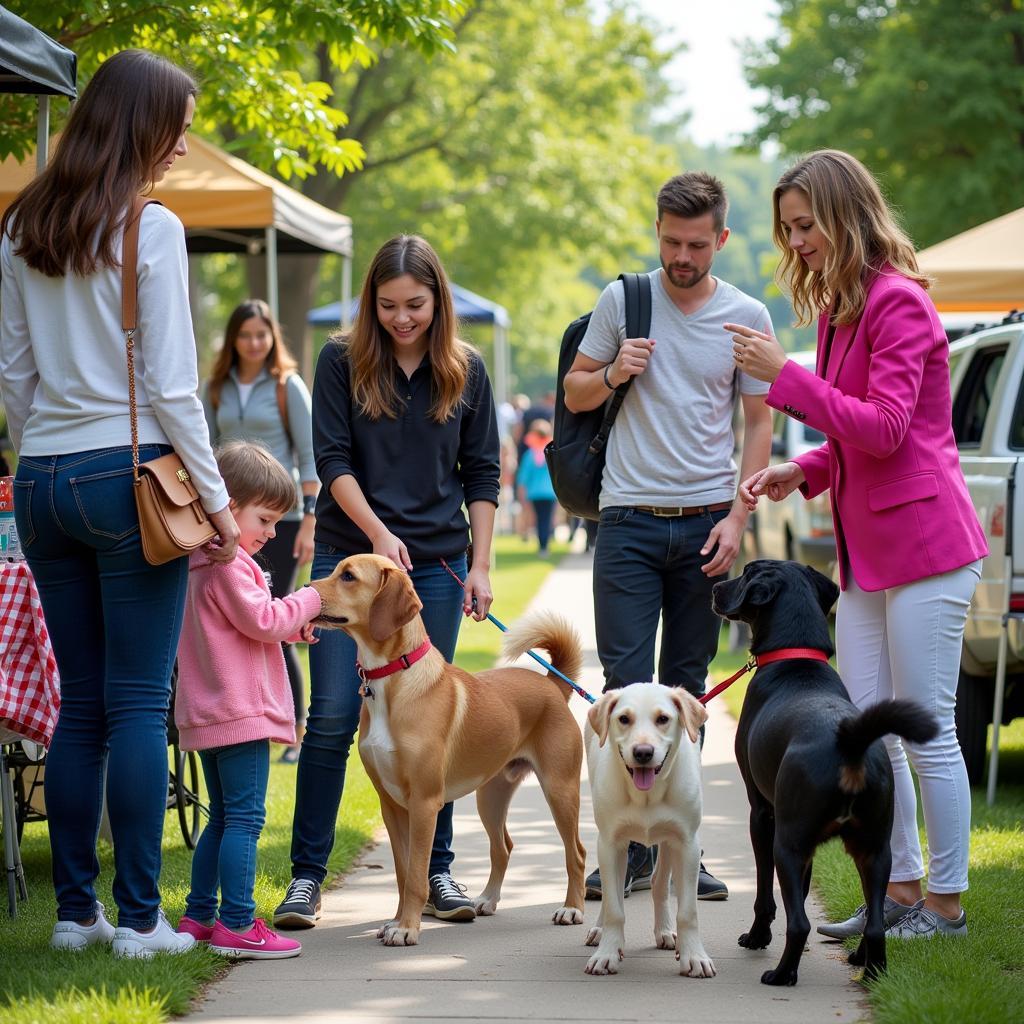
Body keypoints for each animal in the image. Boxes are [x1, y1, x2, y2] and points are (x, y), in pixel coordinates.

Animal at [305, 557, 585, 946]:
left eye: (348, 576)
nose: (305, 590)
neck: (392, 680)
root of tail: (554, 685)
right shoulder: (392, 806)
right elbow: (403, 873)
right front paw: (397, 921)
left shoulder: (424, 803)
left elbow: (417, 876)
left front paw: (407, 928)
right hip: (491, 796)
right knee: (503, 847)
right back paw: (486, 900)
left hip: (560, 790)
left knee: (577, 853)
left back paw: (572, 909)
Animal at [581, 679, 716, 974]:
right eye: (623, 719)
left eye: (663, 719)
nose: (643, 753)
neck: (646, 796)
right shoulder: (610, 843)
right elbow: (614, 907)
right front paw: (607, 952)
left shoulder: (687, 844)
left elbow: (688, 911)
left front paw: (694, 955)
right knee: (612, 891)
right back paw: (599, 930)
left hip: (669, 839)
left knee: (659, 883)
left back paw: (664, 931)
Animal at [712, 565, 937, 987]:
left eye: (747, 573)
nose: (716, 585)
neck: (796, 657)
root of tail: (851, 744)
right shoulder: (812, 846)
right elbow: (804, 890)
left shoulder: (762, 813)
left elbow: (766, 894)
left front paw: (757, 937)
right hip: (874, 849)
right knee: (876, 923)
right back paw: (871, 970)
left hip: (788, 841)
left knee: (799, 923)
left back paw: (782, 974)